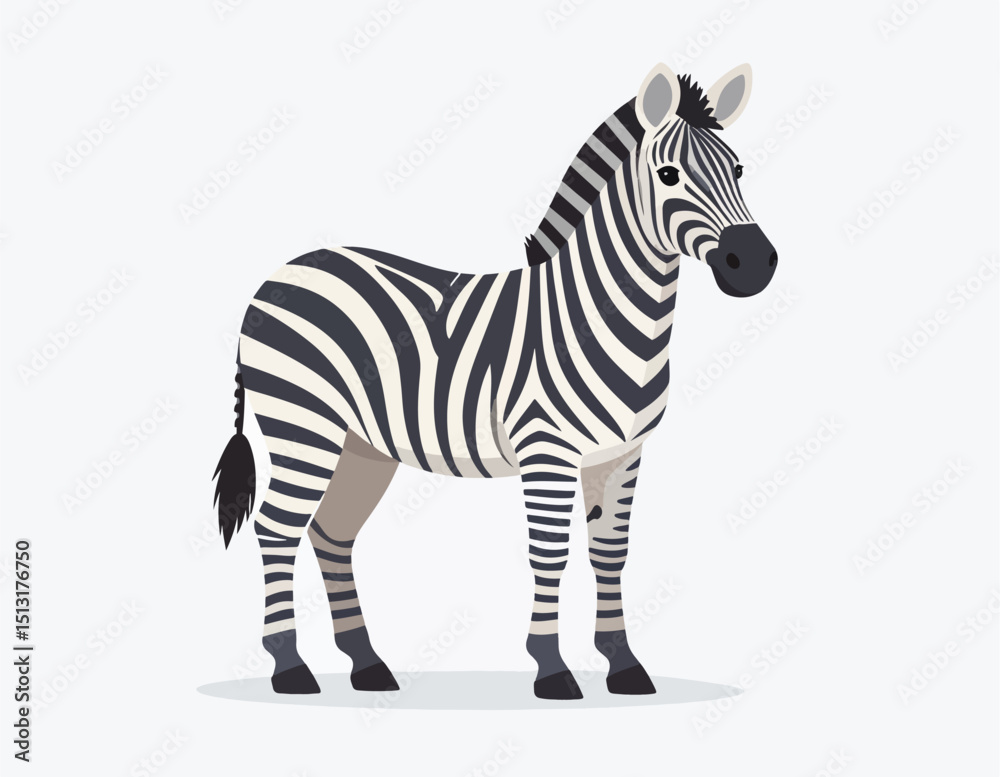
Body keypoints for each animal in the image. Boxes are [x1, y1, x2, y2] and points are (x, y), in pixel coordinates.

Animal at [213, 62, 777, 700]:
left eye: (738, 170)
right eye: (668, 175)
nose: (755, 265)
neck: (599, 313)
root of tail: (276, 276)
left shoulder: (622, 454)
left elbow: (610, 552)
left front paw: (624, 665)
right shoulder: (547, 451)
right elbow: (550, 553)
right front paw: (552, 669)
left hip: (362, 446)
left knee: (331, 532)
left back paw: (367, 664)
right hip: (303, 426)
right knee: (276, 529)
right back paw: (290, 667)